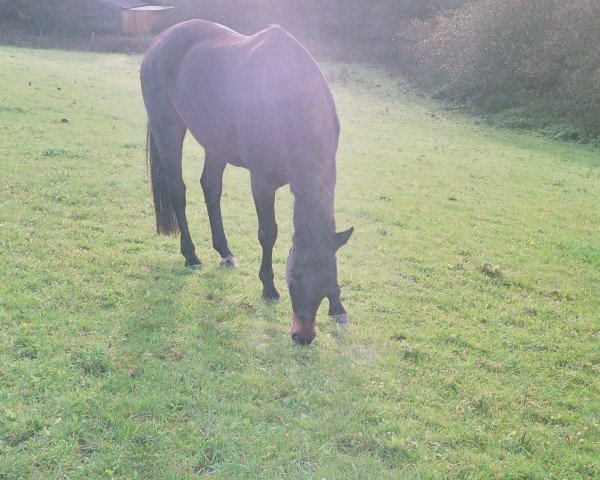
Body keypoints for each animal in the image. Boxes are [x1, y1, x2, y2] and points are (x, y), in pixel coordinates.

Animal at [140, 19, 352, 344]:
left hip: (215, 142)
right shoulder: (261, 181)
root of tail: (159, 42)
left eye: (328, 279)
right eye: (294, 278)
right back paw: (191, 256)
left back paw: (225, 253)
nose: (303, 336)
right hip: (168, 129)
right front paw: (269, 288)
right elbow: (268, 233)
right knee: (178, 191)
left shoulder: (329, 174)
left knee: (210, 188)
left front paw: (338, 307)